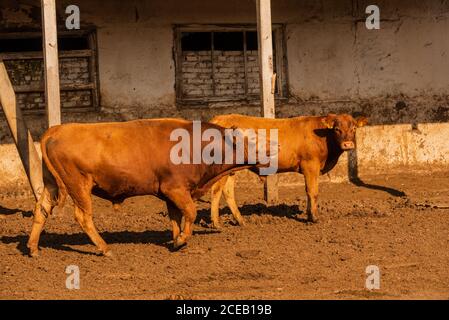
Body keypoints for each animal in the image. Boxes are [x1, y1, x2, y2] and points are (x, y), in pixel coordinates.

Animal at [29, 119, 272, 256]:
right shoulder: (176, 189)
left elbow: (176, 217)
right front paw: (182, 240)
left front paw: (177, 240)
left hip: (52, 185)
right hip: (78, 186)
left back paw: (33, 248)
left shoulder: (170, 194)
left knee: (41, 209)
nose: (266, 156)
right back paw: (104, 248)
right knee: (83, 216)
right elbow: (190, 212)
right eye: (246, 143)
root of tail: (56, 130)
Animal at [208, 112, 366, 228]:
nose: (348, 144)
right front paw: (314, 217)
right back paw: (216, 223)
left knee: (228, 191)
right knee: (216, 190)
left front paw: (309, 214)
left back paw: (240, 221)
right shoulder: (310, 165)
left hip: (230, 170)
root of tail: (219, 118)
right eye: (337, 129)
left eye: (354, 129)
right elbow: (312, 192)